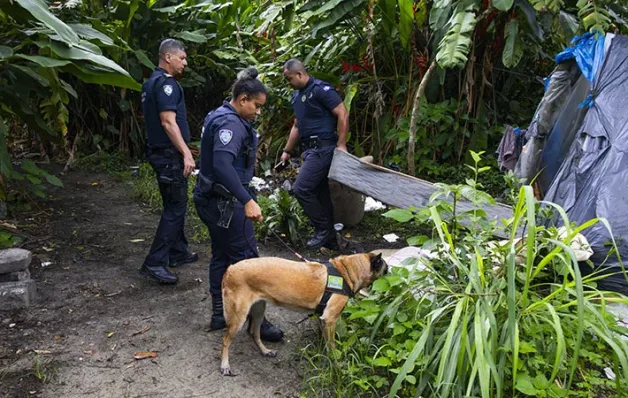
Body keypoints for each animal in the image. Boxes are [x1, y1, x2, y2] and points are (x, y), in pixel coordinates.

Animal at [221, 253, 388, 374]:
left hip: (259, 310)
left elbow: (325, 344)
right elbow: (332, 347)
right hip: (238, 317)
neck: (347, 271)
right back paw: (224, 365)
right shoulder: (330, 320)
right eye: (386, 269)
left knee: (254, 332)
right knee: (226, 339)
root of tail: (230, 269)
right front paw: (336, 367)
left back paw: (265, 351)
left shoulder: (323, 320)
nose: (391, 272)